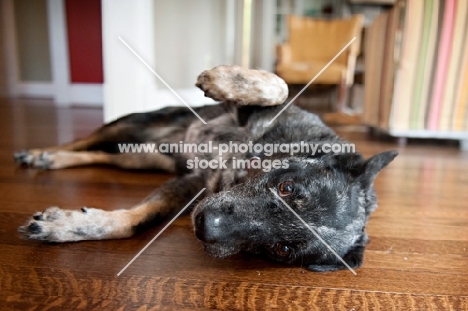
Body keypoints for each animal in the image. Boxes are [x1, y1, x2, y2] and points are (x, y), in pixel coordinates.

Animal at [14, 66, 396, 272]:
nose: (204, 225)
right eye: (287, 187)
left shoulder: (190, 187)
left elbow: (134, 220)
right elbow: (279, 86)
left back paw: (52, 159)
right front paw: (221, 79)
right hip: (132, 125)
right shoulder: (254, 114)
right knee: (82, 140)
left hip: (140, 155)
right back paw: (43, 154)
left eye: (282, 250)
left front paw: (68, 227)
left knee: (99, 155)